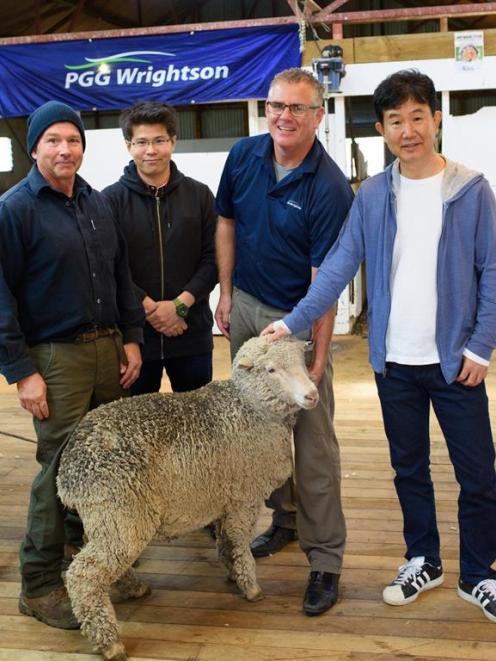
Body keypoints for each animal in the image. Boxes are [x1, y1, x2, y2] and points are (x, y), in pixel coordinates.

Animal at [57, 338, 318, 656]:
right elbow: (238, 540)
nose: (312, 394)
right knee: (84, 574)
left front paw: (232, 571)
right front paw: (250, 586)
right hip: (120, 514)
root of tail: (68, 473)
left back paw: (134, 589)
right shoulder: (244, 496)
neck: (248, 406)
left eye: (303, 362)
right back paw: (109, 642)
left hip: (106, 520)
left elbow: (225, 540)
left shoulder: (225, 497)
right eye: (271, 369)